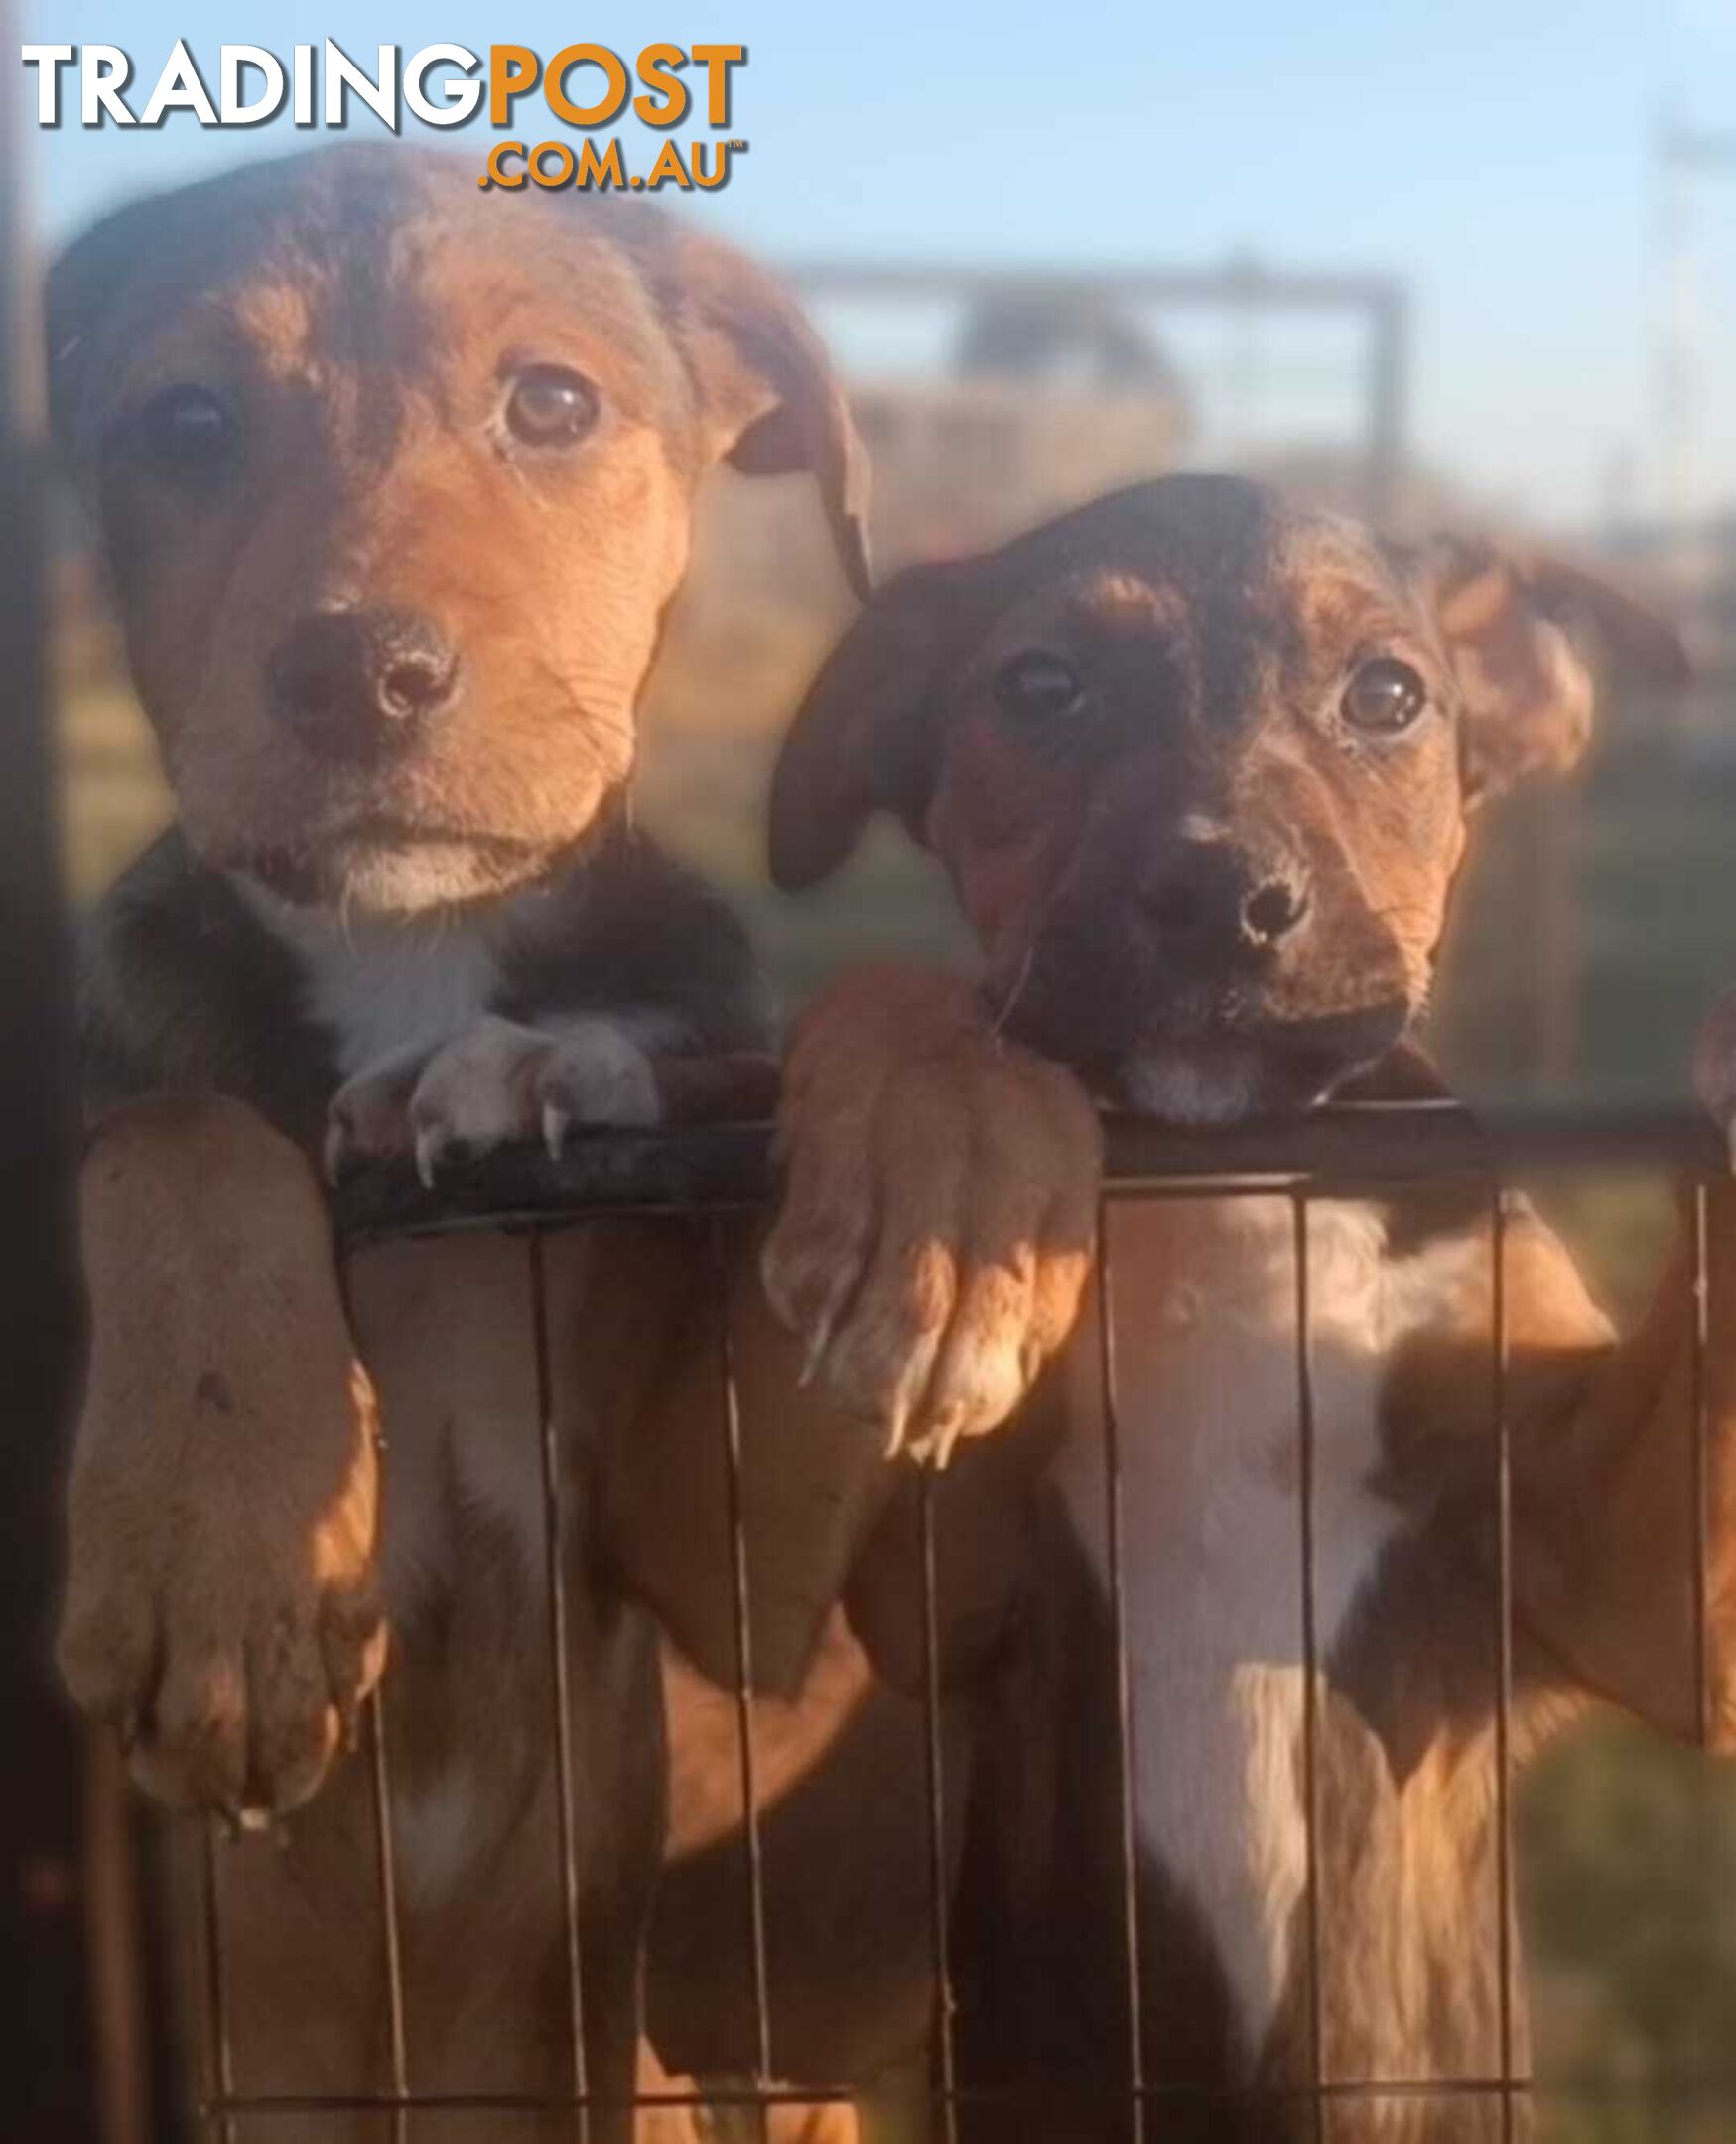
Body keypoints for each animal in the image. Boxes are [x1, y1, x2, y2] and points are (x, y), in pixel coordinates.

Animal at [52, 142, 866, 2135]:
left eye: (551, 404)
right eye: (185, 423)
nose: (362, 673)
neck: (402, 945)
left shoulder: (709, 1565)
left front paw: (531, 1065)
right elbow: (176, 1128)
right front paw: (220, 1552)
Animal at [762, 477, 1723, 2135]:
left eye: (1388, 696)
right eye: (1039, 687)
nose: (1220, 895)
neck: (1226, 1172)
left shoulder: (1624, 1575)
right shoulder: (948, 1588)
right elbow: (920, 1004)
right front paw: (932, 1170)